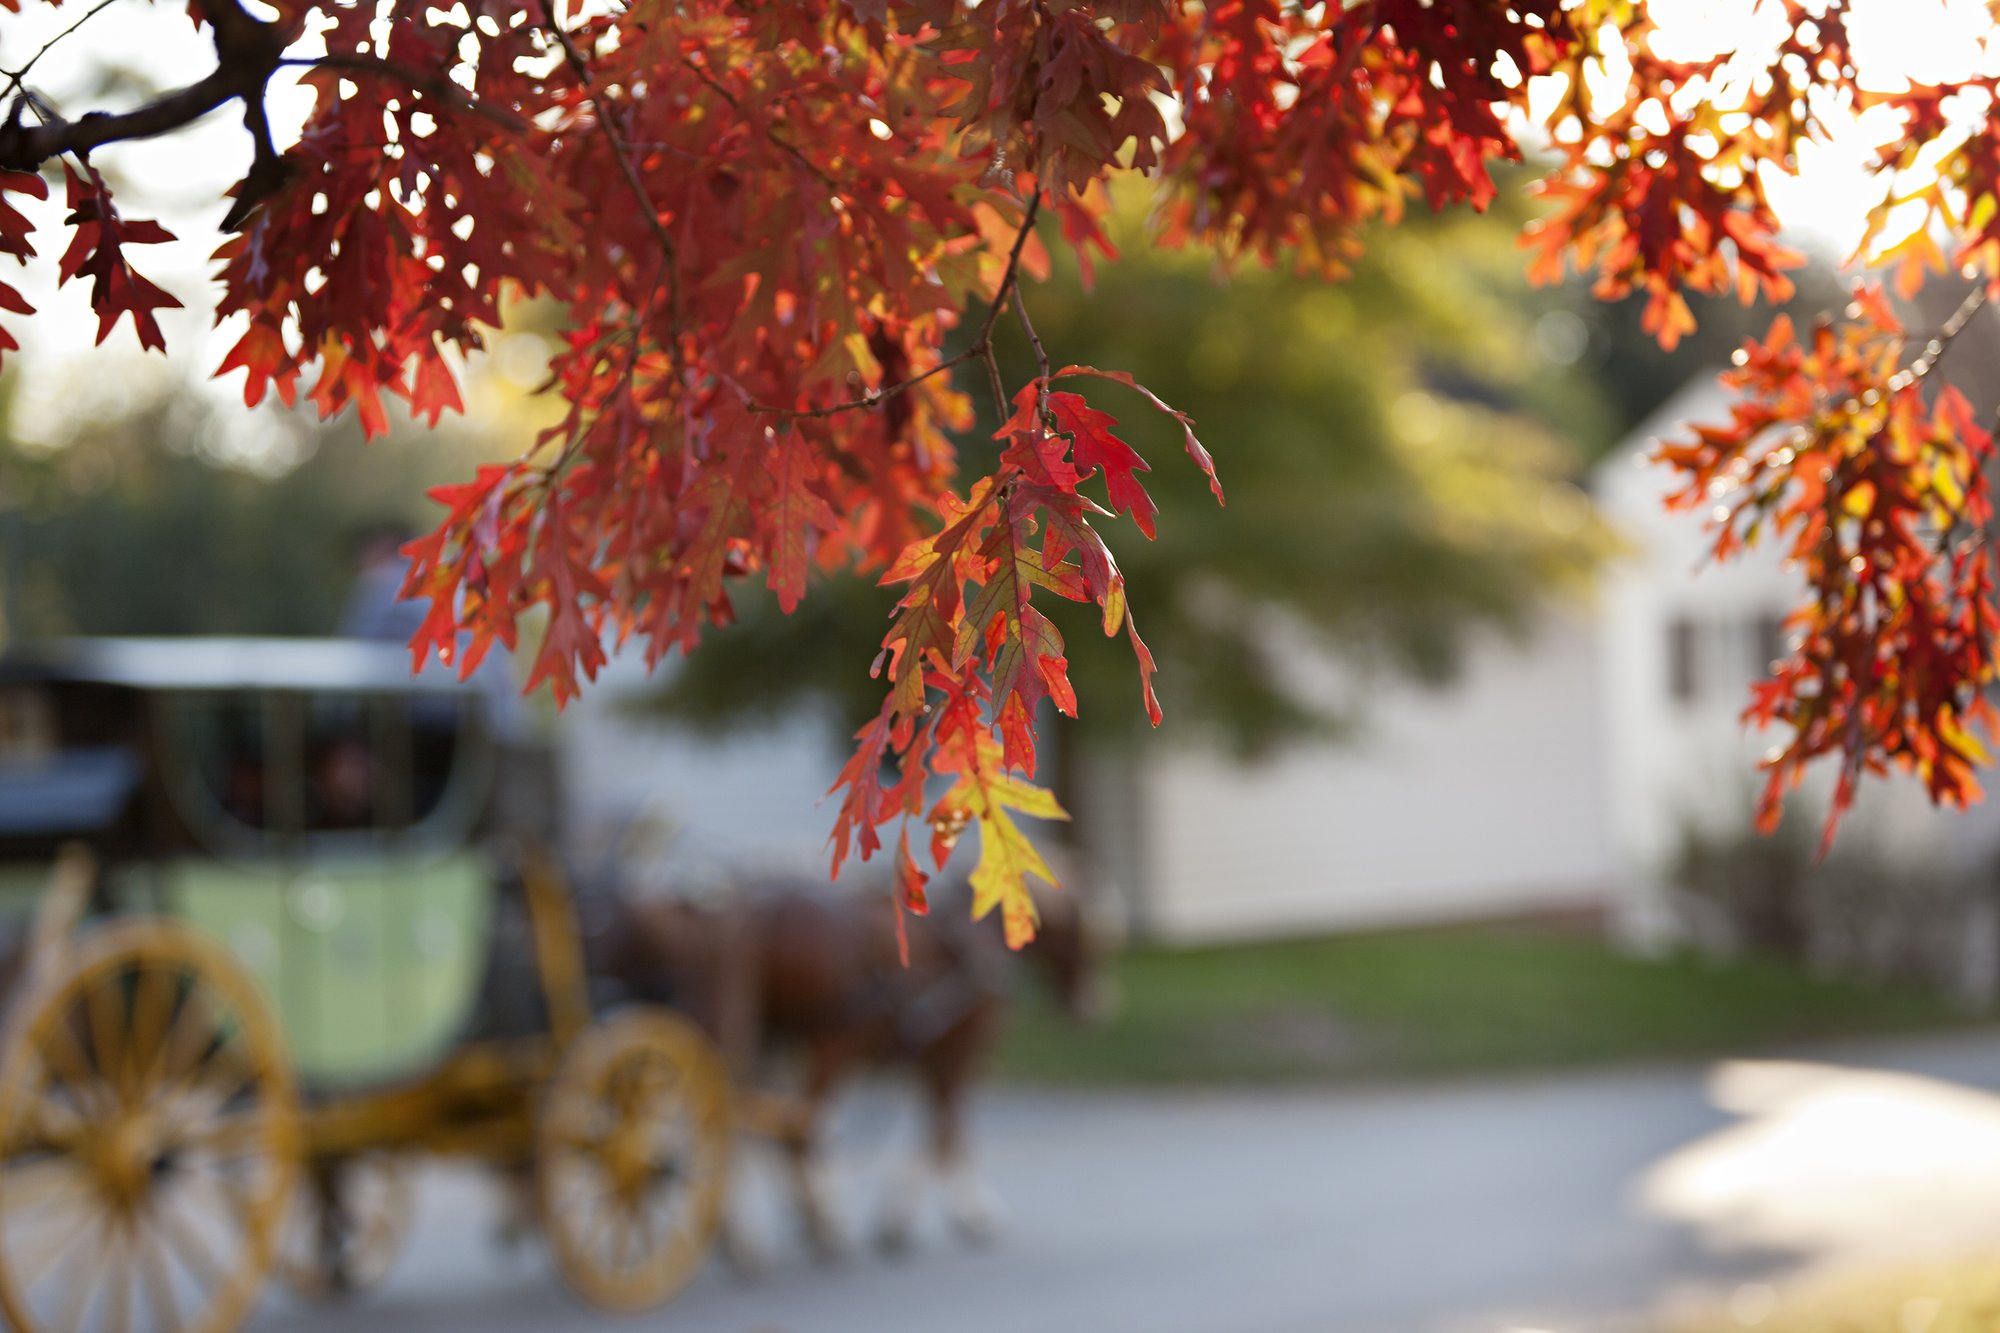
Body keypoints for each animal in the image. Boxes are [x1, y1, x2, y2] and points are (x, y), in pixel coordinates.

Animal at [608, 868, 1112, 1264]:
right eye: (1082, 931)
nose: (1094, 1005)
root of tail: (754, 905)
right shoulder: (957, 1055)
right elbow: (946, 1132)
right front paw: (956, 1215)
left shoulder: (927, 1056)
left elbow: (936, 1131)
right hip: (833, 1043)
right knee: (797, 1128)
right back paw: (818, 1224)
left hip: (762, 1037)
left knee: (743, 1119)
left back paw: (756, 1234)